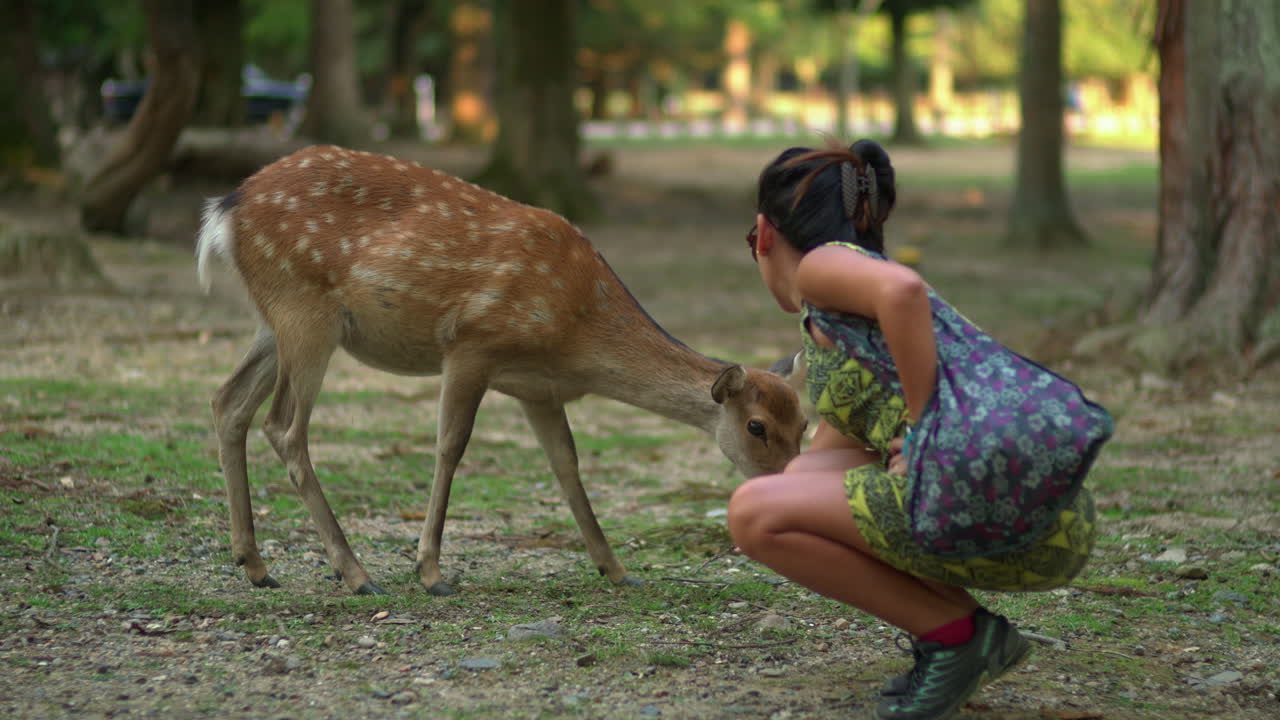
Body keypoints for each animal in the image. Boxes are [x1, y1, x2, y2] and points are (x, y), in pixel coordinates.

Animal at [196, 145, 807, 597]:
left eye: (805, 424)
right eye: (756, 426)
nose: (788, 483)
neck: (576, 332)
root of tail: (225, 210)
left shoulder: (539, 389)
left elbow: (566, 464)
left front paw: (615, 569)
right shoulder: (472, 344)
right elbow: (450, 447)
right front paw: (431, 572)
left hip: (274, 320)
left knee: (228, 401)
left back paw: (255, 565)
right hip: (305, 311)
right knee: (284, 426)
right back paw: (356, 573)